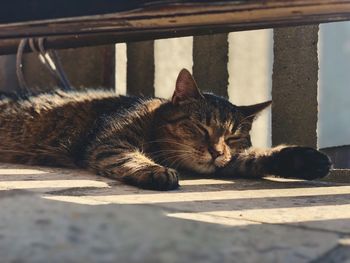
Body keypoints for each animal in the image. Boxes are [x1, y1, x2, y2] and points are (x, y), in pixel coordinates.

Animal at [0, 69, 330, 191]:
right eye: (200, 127)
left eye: (234, 136)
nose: (216, 151)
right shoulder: (110, 144)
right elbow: (129, 158)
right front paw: (156, 171)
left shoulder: (228, 162)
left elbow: (254, 157)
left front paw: (305, 161)